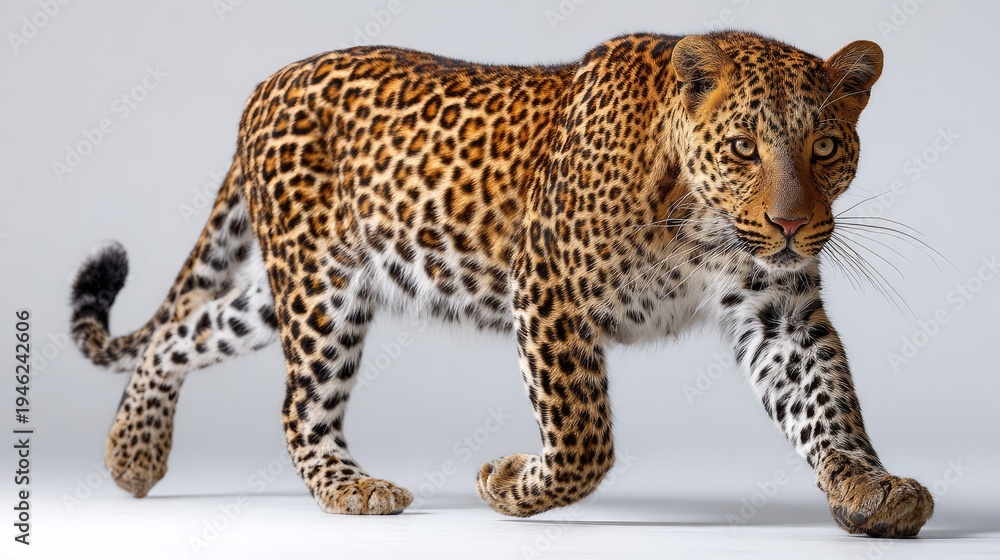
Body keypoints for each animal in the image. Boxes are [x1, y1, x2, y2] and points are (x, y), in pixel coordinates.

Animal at [70, 31, 934, 537]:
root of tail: (268, 83)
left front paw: (872, 489)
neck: (700, 220)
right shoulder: (547, 284)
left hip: (295, 287)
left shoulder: (777, 312)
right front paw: (510, 482)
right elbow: (584, 435)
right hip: (321, 287)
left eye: (825, 147)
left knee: (183, 331)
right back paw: (350, 489)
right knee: (298, 403)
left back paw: (132, 454)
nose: (790, 226)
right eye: (744, 148)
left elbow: (829, 407)